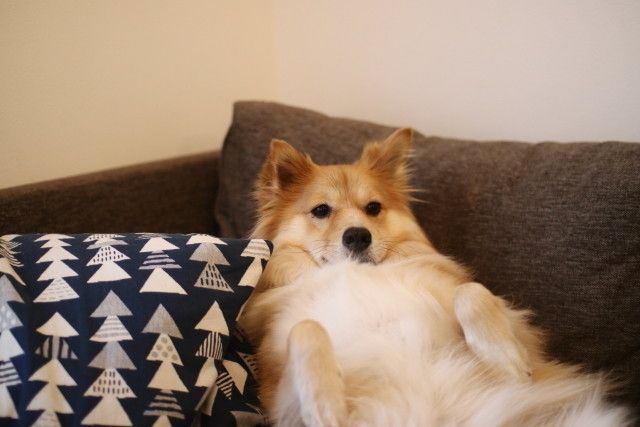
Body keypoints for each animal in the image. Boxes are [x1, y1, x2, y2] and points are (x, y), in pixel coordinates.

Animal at [239, 128, 630, 426]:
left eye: (373, 208)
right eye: (321, 210)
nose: (358, 236)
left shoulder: (524, 335)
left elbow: (471, 292)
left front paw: (504, 357)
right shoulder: (275, 384)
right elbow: (307, 328)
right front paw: (325, 407)